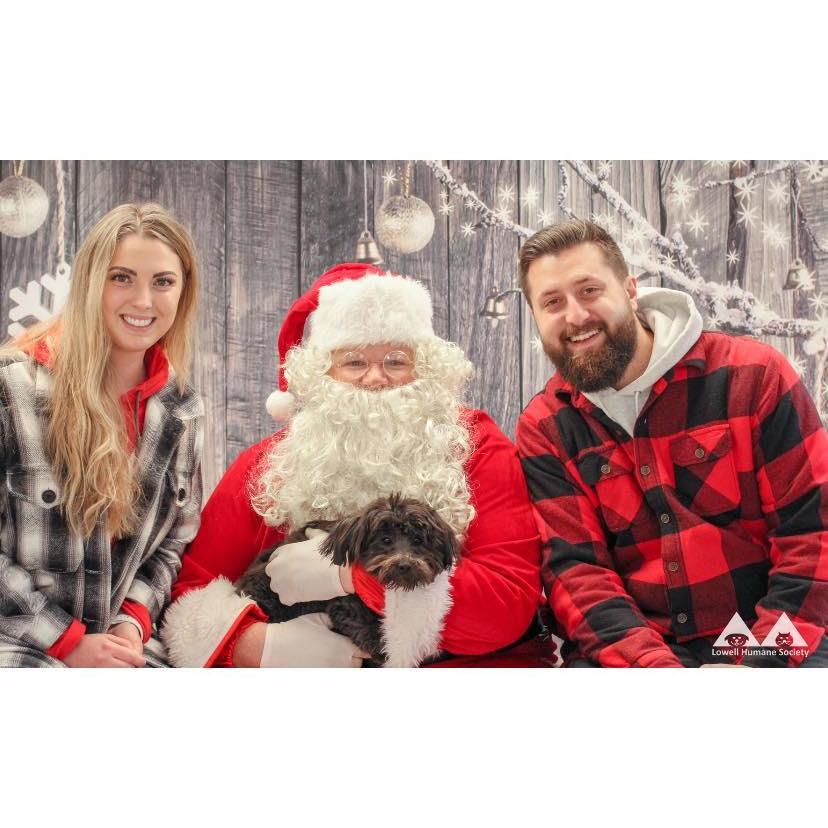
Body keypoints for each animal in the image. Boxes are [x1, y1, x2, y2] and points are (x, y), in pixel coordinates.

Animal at [235, 494, 460, 664]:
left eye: (418, 540)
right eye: (385, 540)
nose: (404, 564)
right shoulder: (344, 603)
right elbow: (358, 620)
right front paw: (385, 650)